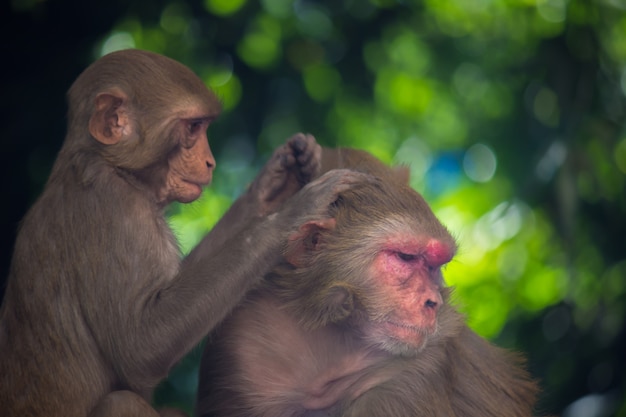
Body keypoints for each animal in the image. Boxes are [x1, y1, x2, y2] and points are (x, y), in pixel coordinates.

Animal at [0, 49, 366, 416]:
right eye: (193, 127)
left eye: (203, 127)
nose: (210, 162)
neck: (112, 168)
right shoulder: (114, 209)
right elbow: (142, 346)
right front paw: (292, 213)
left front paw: (273, 182)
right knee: (120, 401)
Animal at [195, 146, 536, 416]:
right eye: (406, 257)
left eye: (434, 265)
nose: (433, 302)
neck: (326, 334)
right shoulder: (242, 345)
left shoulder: (414, 370)